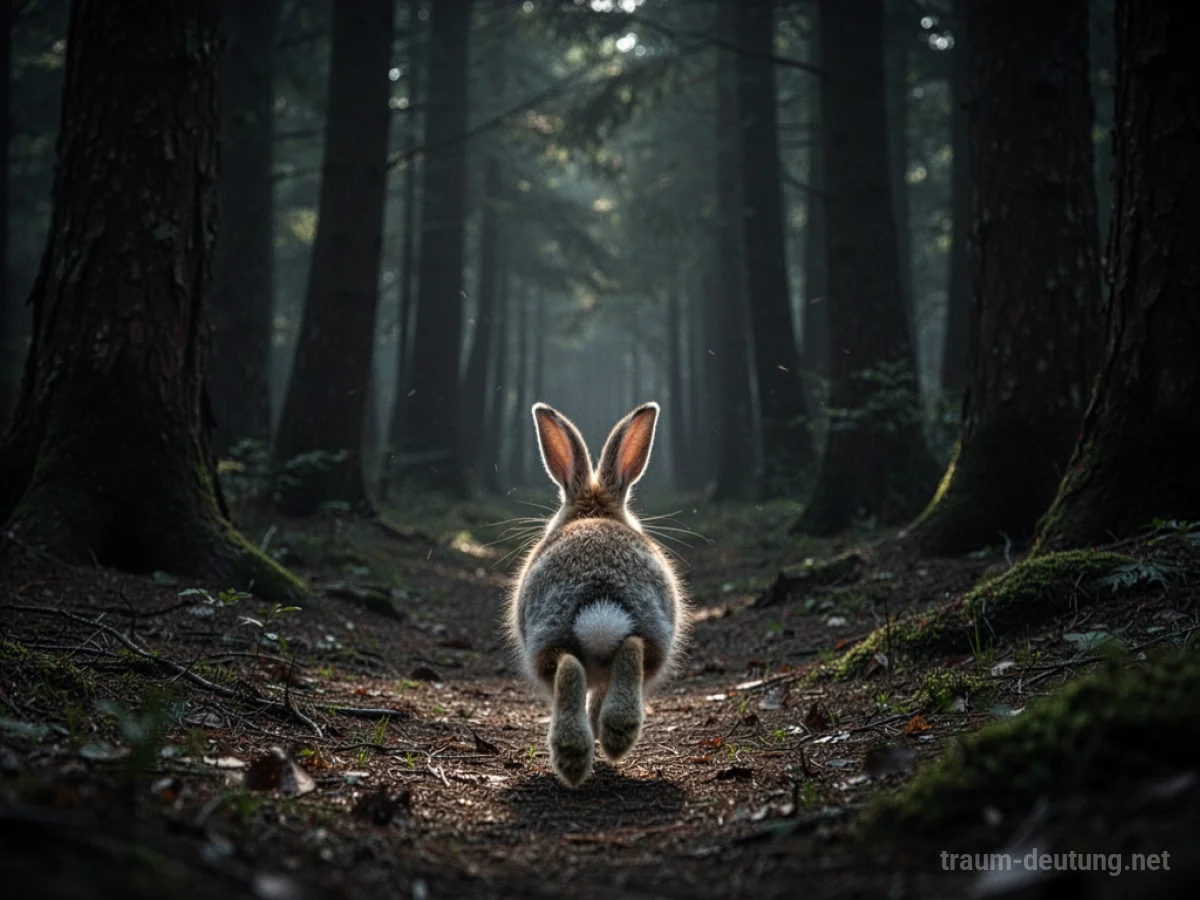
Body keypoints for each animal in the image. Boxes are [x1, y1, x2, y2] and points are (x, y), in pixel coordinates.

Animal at [508, 401, 688, 787]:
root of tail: (600, 606)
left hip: (548, 637)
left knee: (572, 670)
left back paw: (581, 751)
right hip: (646, 631)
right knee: (625, 652)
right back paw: (606, 738)